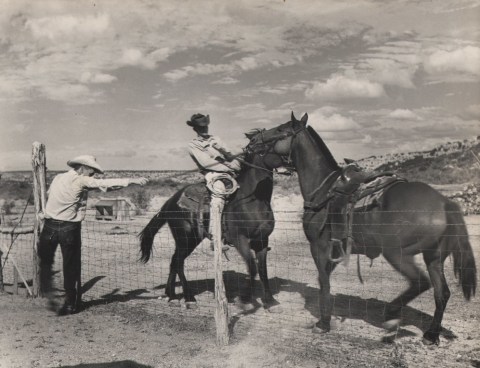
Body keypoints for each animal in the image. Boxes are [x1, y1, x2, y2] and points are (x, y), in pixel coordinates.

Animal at [139, 131, 286, 310]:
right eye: (276, 137)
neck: (251, 200)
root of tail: (171, 201)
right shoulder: (240, 239)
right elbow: (252, 268)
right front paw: (244, 300)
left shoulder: (262, 240)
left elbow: (262, 269)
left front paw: (270, 300)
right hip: (187, 238)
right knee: (178, 262)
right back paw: (189, 298)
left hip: (186, 240)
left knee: (174, 261)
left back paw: (172, 295)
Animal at [248, 112, 476, 344]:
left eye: (280, 129)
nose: (252, 139)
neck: (323, 189)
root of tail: (444, 203)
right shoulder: (335, 251)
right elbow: (324, 280)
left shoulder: (319, 247)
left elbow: (324, 283)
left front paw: (323, 323)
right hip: (434, 258)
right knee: (442, 293)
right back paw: (431, 334)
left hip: (397, 253)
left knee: (421, 283)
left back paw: (392, 314)